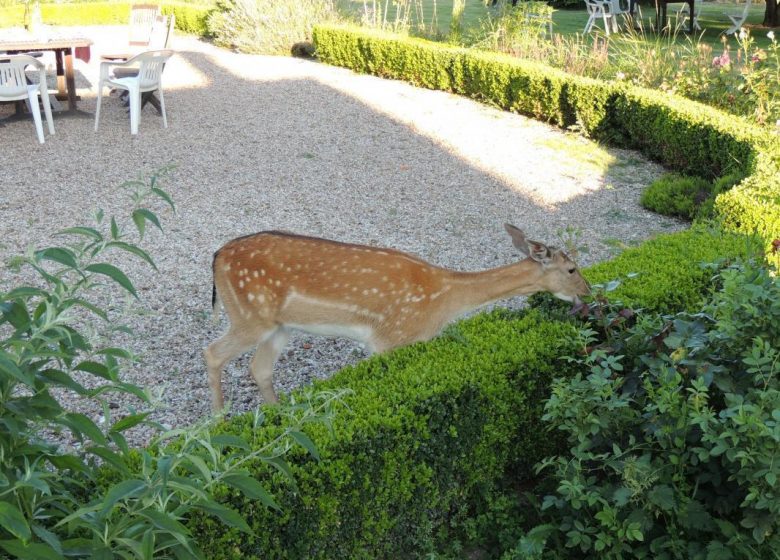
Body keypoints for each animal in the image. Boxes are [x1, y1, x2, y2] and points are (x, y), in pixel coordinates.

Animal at [204, 223, 588, 412]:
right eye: (572, 268)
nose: (587, 292)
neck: (444, 300)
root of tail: (217, 255)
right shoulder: (390, 338)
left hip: (279, 326)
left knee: (259, 368)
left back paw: (281, 417)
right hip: (249, 315)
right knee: (212, 352)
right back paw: (220, 423)